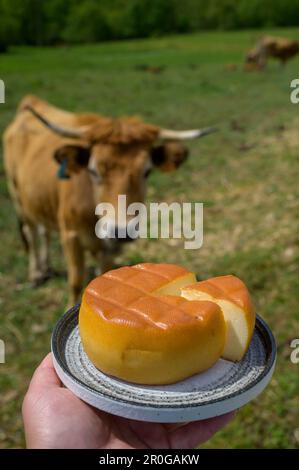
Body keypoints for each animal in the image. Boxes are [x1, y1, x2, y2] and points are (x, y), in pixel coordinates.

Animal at [3, 95, 217, 306]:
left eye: (147, 171)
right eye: (93, 171)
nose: (120, 231)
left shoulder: (111, 250)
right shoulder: (71, 237)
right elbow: (75, 282)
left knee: (44, 230)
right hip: (17, 196)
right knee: (31, 233)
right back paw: (35, 274)